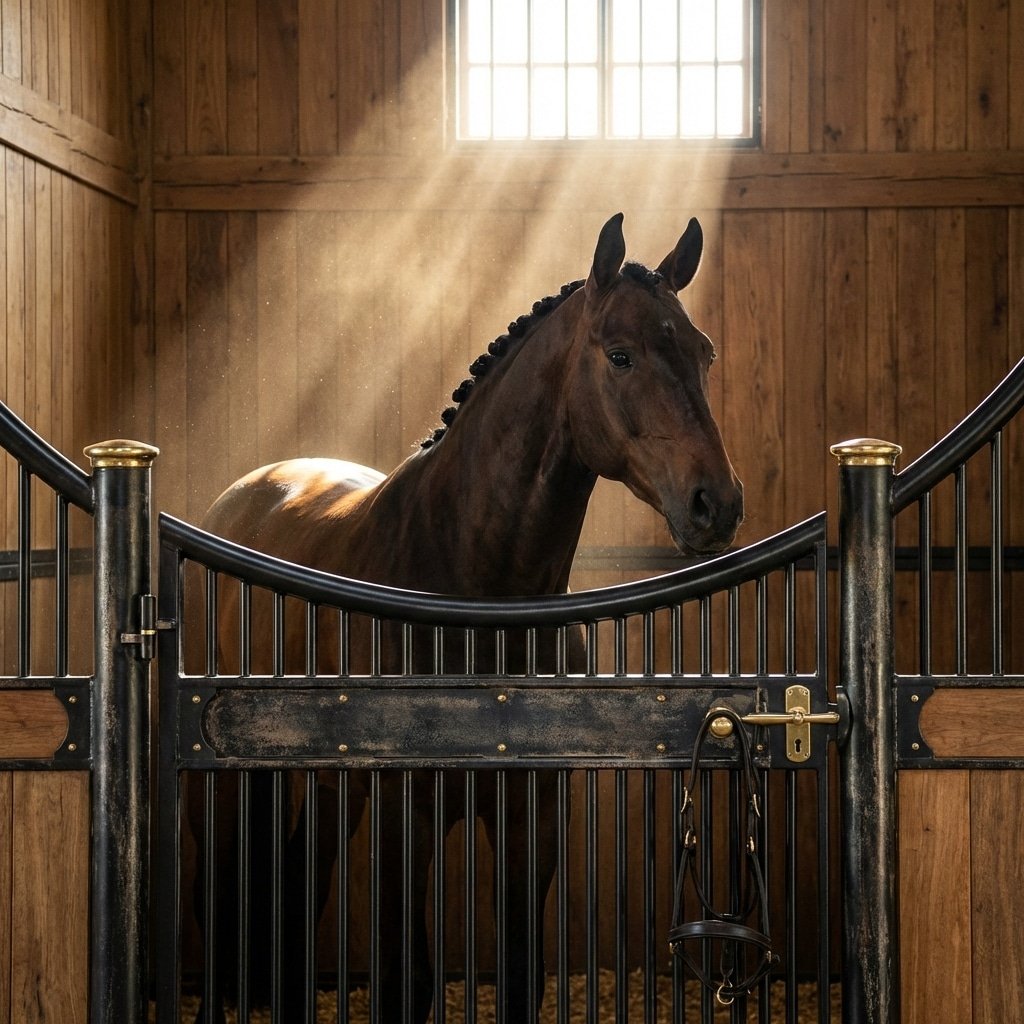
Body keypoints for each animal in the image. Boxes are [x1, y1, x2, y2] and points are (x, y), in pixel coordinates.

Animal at [189, 212, 743, 1022]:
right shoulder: (406, 817)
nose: (717, 504)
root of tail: (241, 497)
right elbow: (407, 981)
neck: (469, 584)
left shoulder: (530, 819)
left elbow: (518, 974)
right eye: (621, 354)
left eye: (703, 354)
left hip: (327, 789)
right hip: (232, 789)